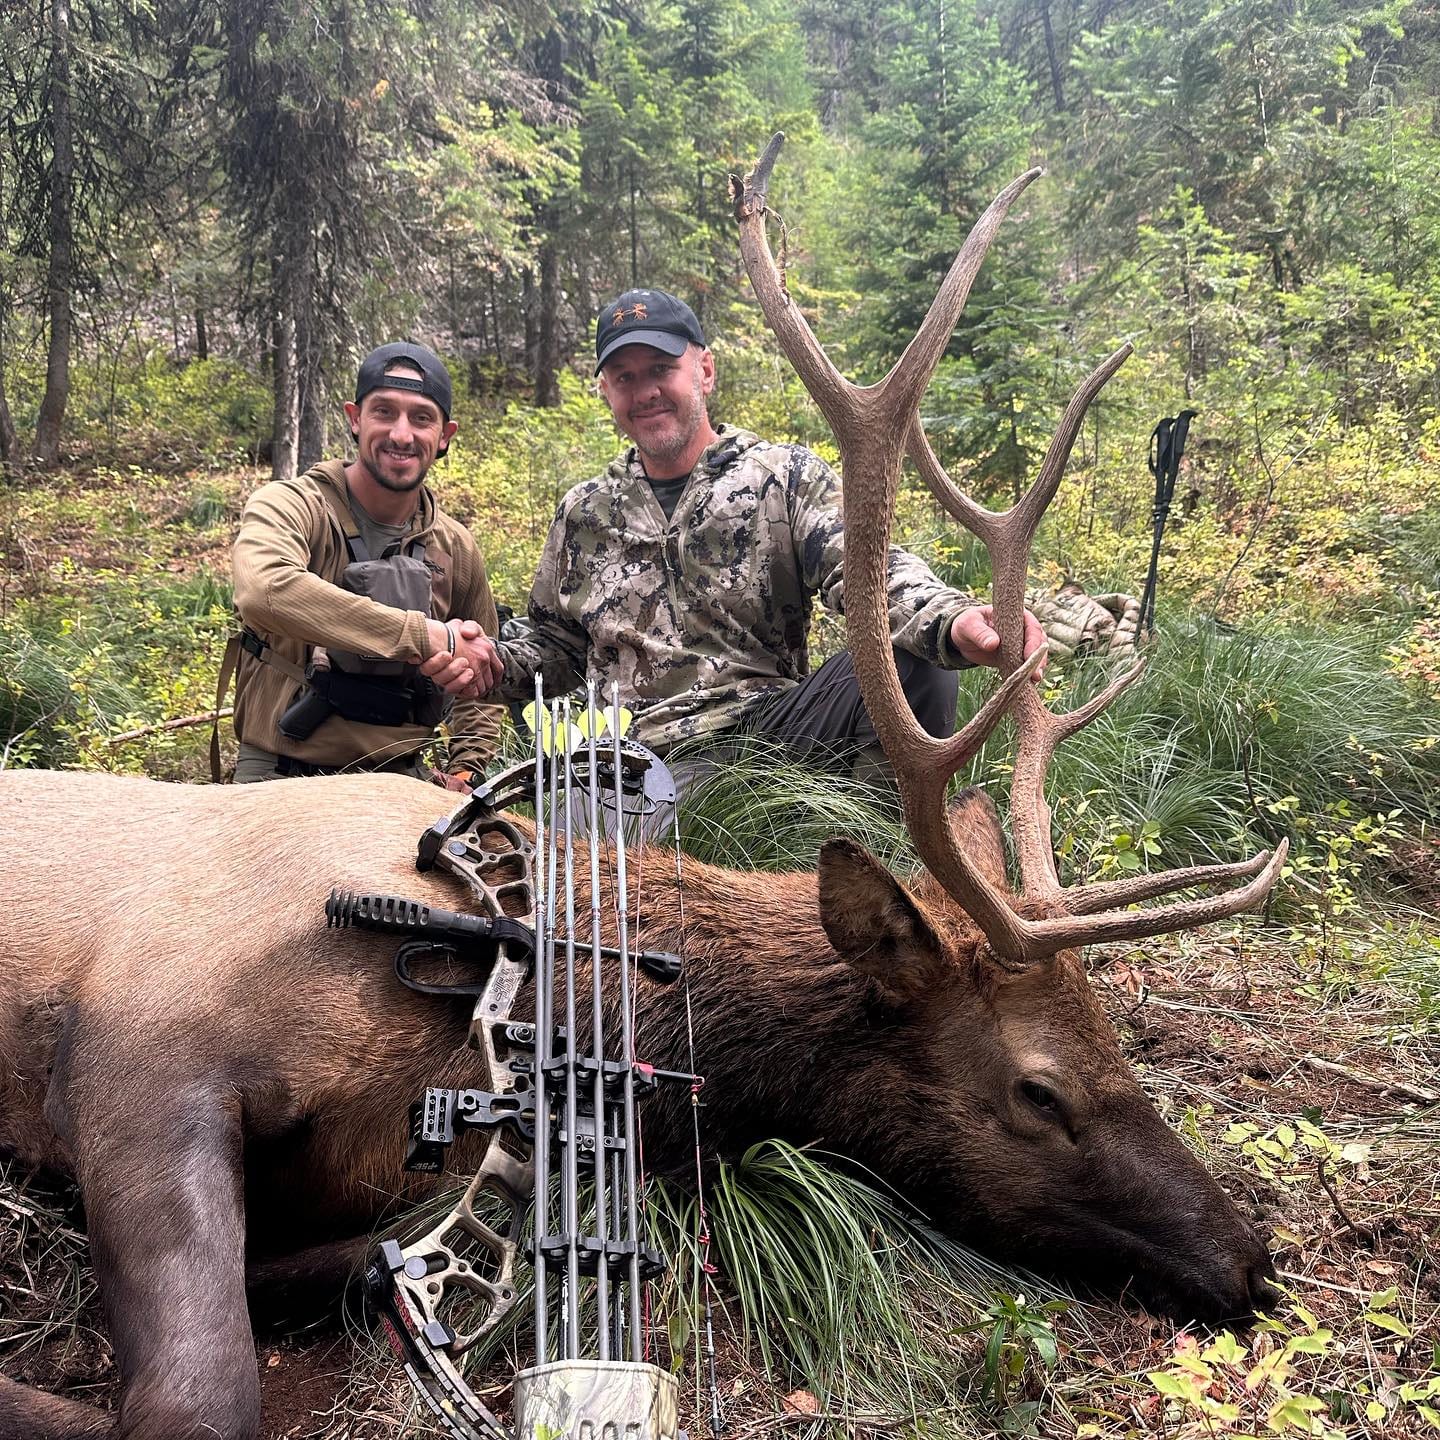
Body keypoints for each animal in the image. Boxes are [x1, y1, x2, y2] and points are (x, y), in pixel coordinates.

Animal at [0, 144, 1285, 1440]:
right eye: (1039, 1088)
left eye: (1119, 1045)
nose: (1252, 1261)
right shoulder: (142, 1041)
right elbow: (200, 1395)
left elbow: (360, 1264)